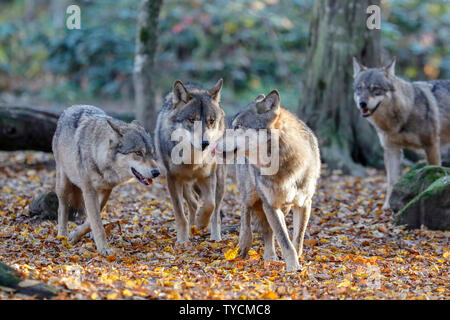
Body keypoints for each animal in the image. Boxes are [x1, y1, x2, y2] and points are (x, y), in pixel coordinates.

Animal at [52, 105, 160, 255]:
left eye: (151, 153)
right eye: (138, 153)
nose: (156, 172)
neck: (97, 154)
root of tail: (70, 108)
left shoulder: (107, 189)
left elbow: (94, 218)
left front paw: (78, 234)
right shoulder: (89, 190)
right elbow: (96, 221)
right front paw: (103, 248)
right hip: (63, 185)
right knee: (62, 208)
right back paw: (62, 234)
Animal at [155, 79, 227, 242]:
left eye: (211, 121)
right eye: (192, 120)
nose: (205, 143)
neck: (193, 159)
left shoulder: (208, 176)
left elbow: (210, 205)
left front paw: (201, 222)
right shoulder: (173, 178)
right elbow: (180, 215)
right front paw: (182, 241)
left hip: (218, 180)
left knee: (215, 212)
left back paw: (215, 237)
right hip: (185, 183)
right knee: (193, 203)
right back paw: (191, 230)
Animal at [211, 90, 320, 272]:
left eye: (238, 127)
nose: (211, 144)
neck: (283, 163)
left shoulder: (304, 203)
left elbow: (296, 240)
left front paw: (296, 263)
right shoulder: (271, 204)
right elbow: (284, 240)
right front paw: (293, 268)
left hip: (284, 208)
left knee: (268, 230)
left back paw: (270, 256)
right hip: (252, 195)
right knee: (246, 213)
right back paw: (245, 244)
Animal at [354, 57, 448, 210]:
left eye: (375, 89)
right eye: (359, 89)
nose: (362, 103)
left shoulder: (431, 145)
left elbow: (434, 170)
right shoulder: (392, 150)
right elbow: (391, 181)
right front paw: (387, 206)